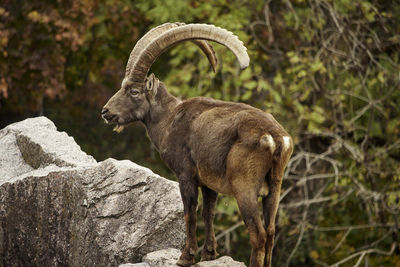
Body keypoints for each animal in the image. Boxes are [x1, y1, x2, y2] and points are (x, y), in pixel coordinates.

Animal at [101, 23, 292, 267]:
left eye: (134, 91)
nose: (106, 111)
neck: (168, 119)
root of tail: (275, 137)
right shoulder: (209, 183)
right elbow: (208, 213)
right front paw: (209, 254)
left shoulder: (186, 175)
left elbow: (190, 212)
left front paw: (186, 257)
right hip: (275, 187)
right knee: (270, 232)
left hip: (245, 187)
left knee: (258, 234)